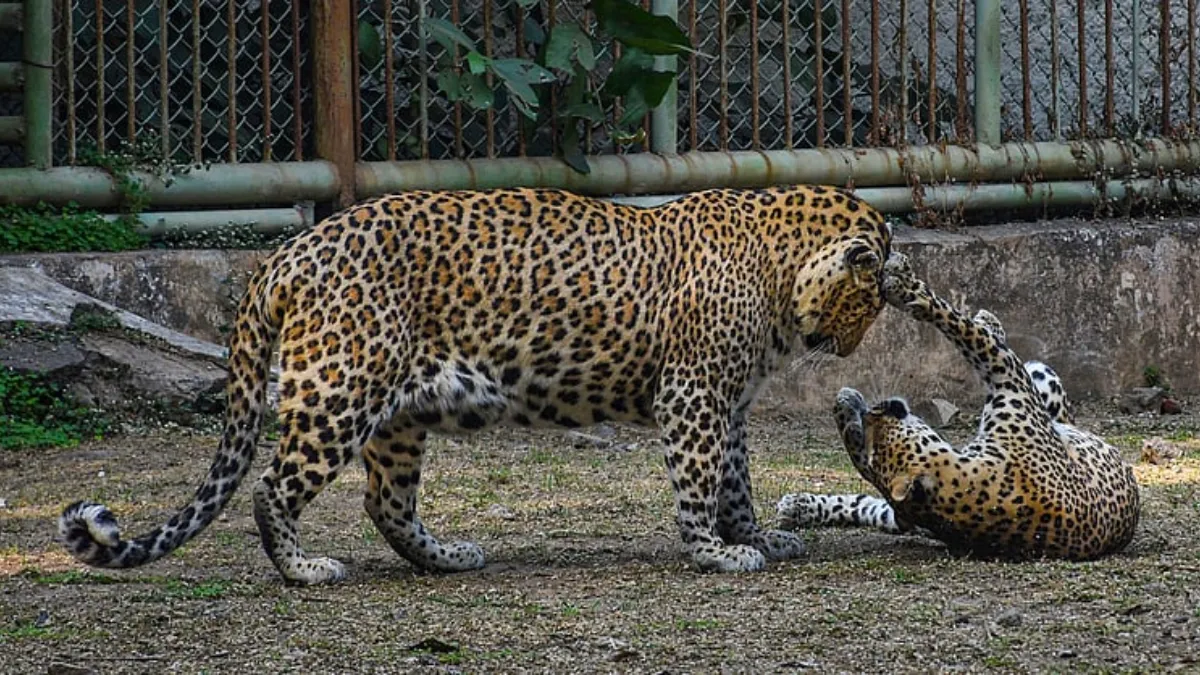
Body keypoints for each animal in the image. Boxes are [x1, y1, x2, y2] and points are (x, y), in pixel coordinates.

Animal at [59, 185, 895, 584]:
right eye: (872, 297)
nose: (855, 344)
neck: (781, 272)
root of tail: (286, 252)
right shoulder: (693, 393)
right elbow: (699, 480)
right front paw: (715, 554)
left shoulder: (732, 401)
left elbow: (737, 480)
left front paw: (756, 536)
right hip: (340, 388)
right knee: (273, 487)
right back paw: (304, 569)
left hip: (396, 412)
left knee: (385, 501)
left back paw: (445, 557)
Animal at [776, 253, 1139, 561]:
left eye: (876, 434)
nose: (876, 409)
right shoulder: (1012, 381)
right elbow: (968, 332)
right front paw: (907, 287)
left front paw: (846, 409)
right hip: (1040, 377)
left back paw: (797, 504)